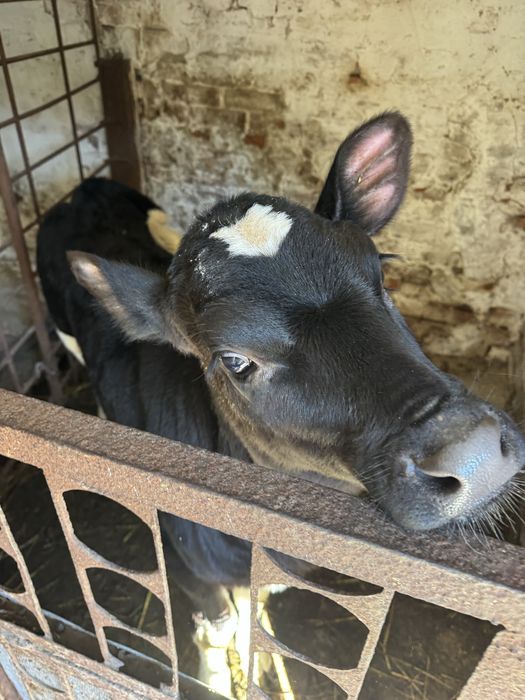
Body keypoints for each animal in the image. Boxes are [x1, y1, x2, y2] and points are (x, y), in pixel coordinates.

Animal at [37, 112, 525, 695]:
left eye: (381, 273)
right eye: (234, 360)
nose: (473, 453)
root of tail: (83, 188)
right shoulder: (188, 564)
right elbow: (216, 634)